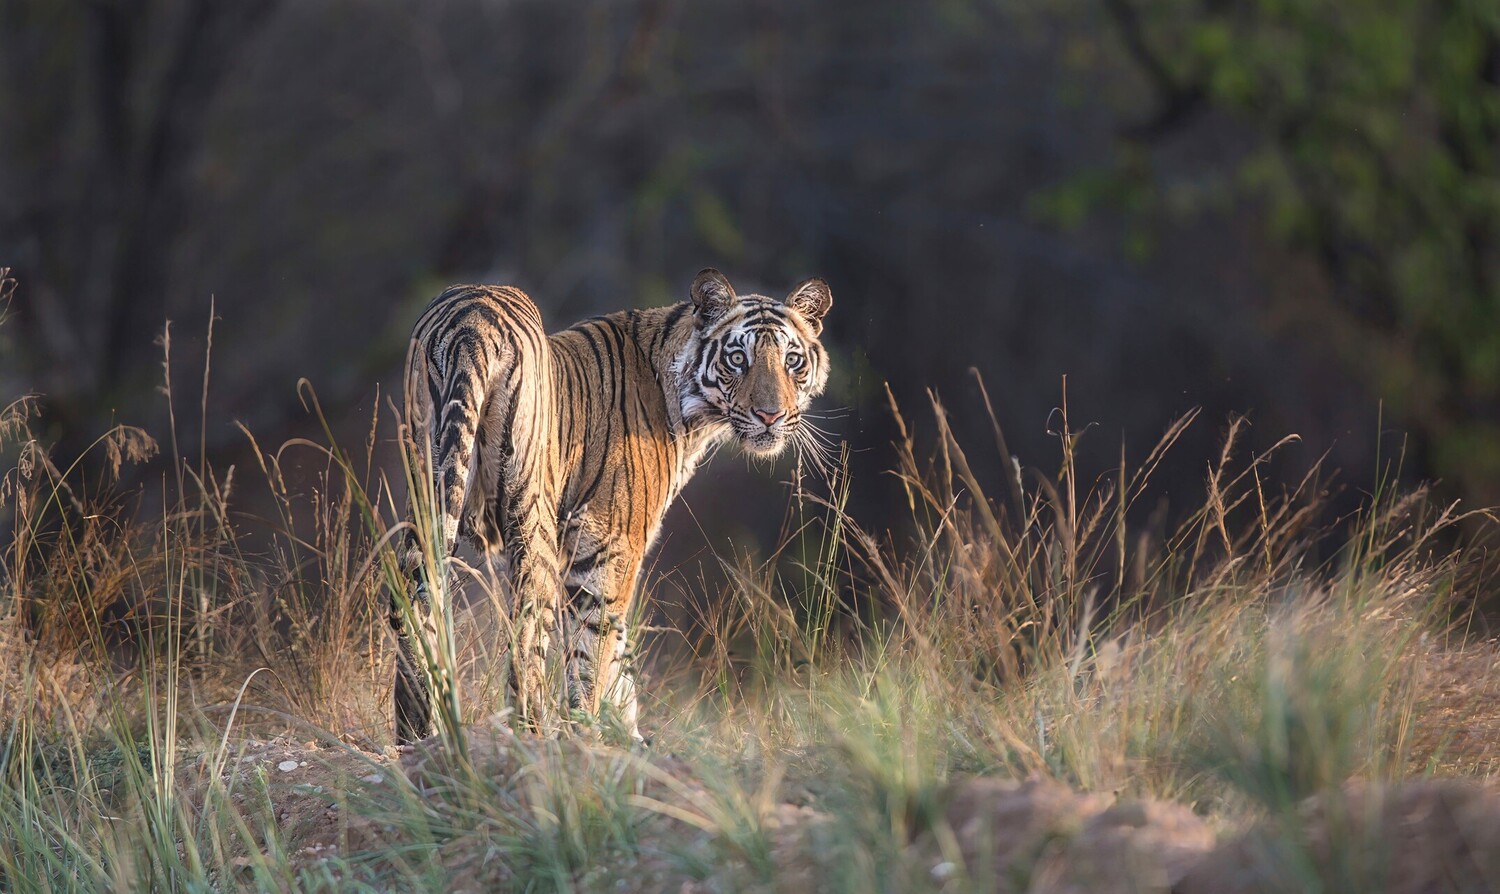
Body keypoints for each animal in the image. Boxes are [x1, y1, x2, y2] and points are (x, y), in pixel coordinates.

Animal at [392, 268, 833, 744]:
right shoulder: (607, 548)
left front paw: (626, 736)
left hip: (426, 484)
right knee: (527, 631)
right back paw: (532, 737)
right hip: (531, 516)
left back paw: (417, 739)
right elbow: (595, 655)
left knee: (411, 600)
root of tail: (472, 318)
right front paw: (589, 736)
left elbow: (619, 664)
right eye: (738, 359)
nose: (771, 415)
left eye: (792, 361)